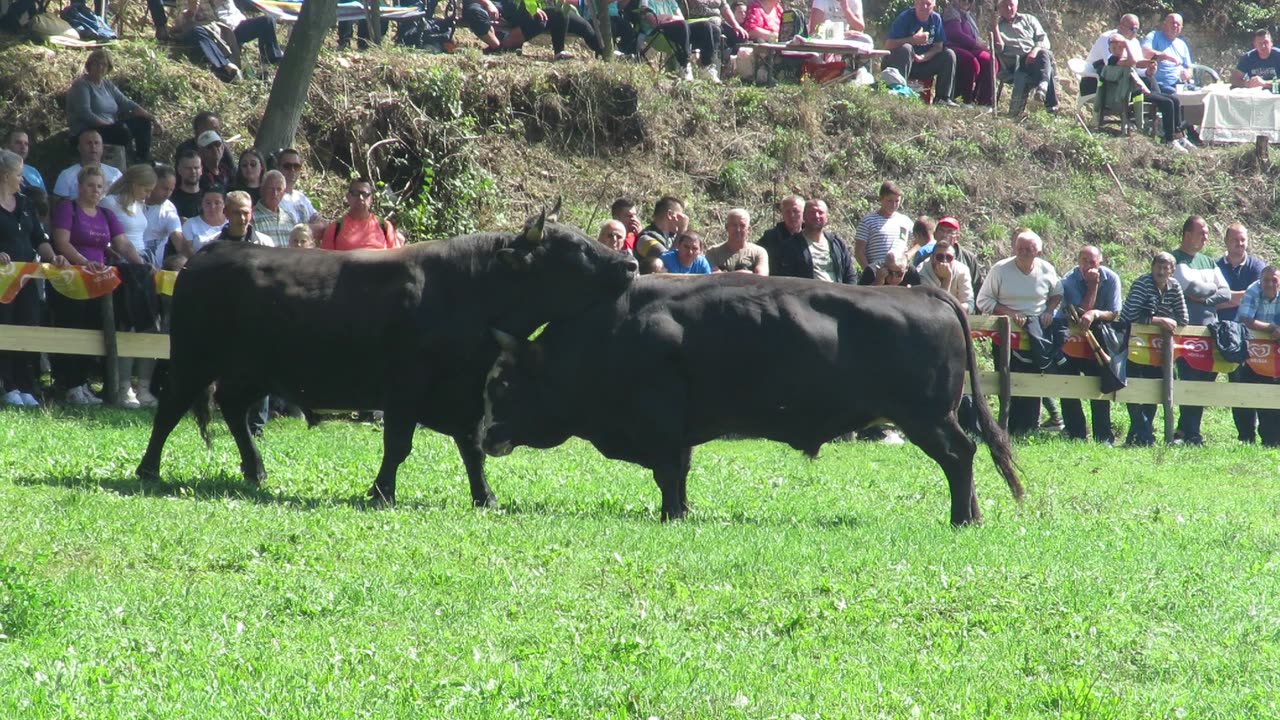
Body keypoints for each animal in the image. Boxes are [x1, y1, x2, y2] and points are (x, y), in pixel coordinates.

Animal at [481, 272, 1029, 520]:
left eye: (501, 383)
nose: (484, 437)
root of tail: (923, 291)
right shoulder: (680, 432)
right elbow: (679, 473)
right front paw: (681, 513)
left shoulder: (661, 425)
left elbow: (667, 473)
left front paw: (670, 515)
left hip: (927, 418)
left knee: (960, 454)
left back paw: (963, 518)